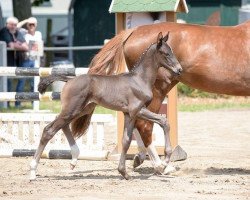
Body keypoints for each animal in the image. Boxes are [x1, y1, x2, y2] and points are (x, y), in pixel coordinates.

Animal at [88, 20, 250, 170]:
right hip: (157, 91)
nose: (179, 68)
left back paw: (141, 158)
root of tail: (134, 30)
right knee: (145, 125)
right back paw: (160, 165)